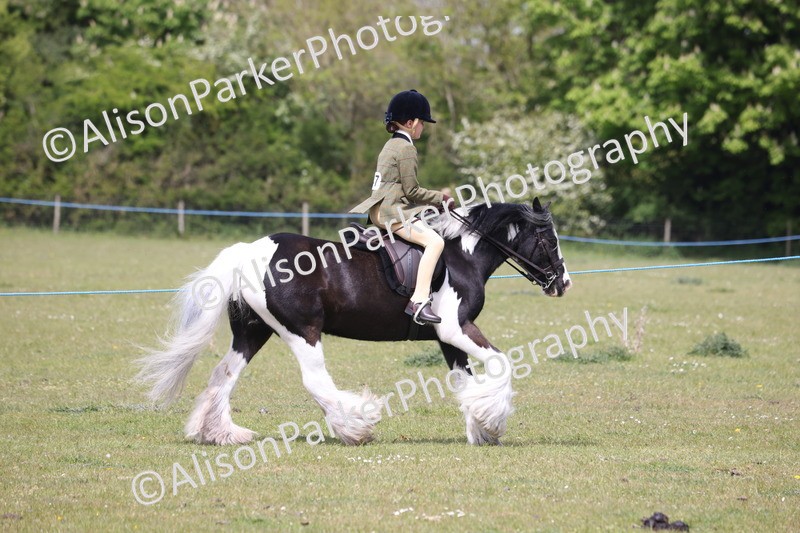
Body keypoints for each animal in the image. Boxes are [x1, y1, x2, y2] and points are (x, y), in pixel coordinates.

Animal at [136, 197, 571, 446]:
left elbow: (465, 383)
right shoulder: (455, 329)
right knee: (314, 381)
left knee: (222, 376)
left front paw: (480, 428)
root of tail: (248, 252)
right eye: (549, 241)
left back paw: (219, 434)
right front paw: (492, 421)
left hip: (253, 332)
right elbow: (502, 363)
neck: (461, 256)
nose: (563, 283)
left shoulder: (447, 340)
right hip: (301, 331)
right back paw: (357, 425)